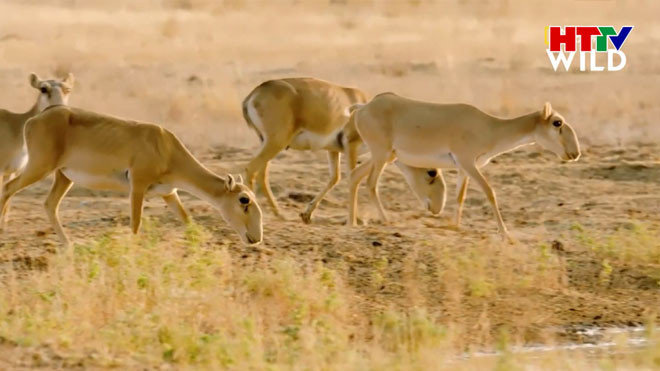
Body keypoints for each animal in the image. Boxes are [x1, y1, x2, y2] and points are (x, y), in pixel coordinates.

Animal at [0, 107, 262, 247]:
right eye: (244, 200)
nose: (256, 238)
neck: (166, 147)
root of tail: (35, 118)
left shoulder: (169, 193)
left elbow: (188, 221)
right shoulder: (138, 185)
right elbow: (136, 224)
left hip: (63, 176)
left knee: (49, 204)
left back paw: (68, 245)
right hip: (39, 167)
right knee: (8, 188)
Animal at [348, 93, 580, 238]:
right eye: (557, 122)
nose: (575, 153)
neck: (490, 128)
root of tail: (363, 108)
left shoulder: (463, 168)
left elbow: (460, 196)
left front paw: (455, 226)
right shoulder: (469, 163)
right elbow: (490, 192)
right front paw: (505, 233)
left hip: (383, 156)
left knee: (356, 176)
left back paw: (353, 223)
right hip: (381, 155)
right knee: (371, 183)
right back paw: (386, 221)